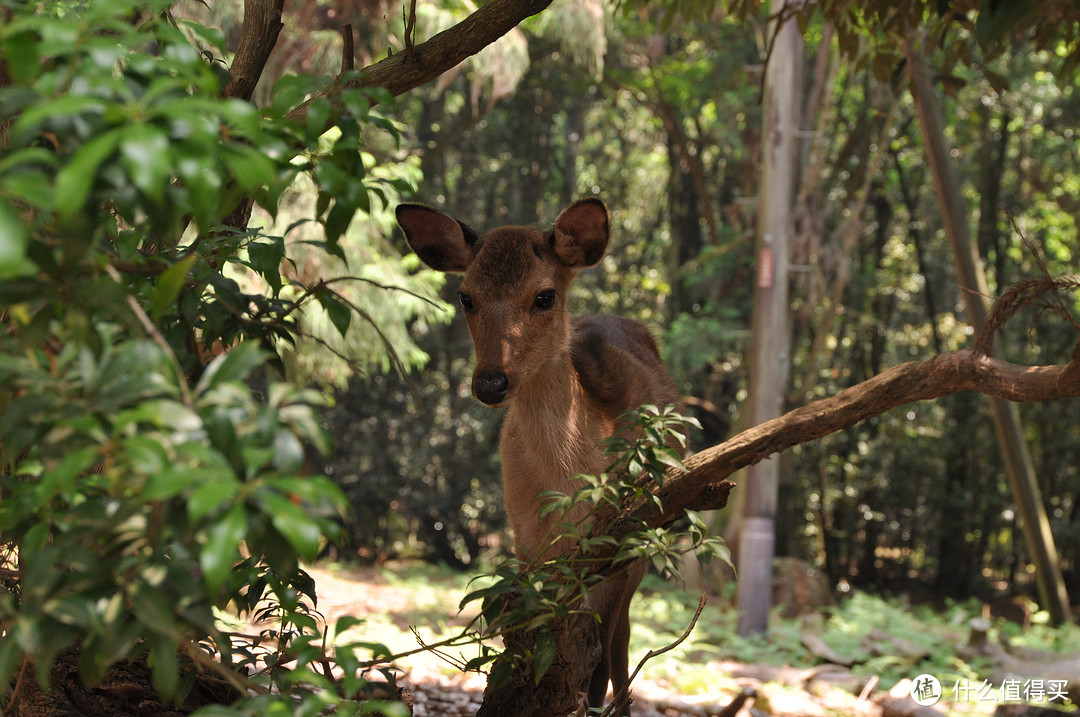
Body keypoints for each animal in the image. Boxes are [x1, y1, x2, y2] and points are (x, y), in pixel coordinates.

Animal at [397, 198, 682, 712]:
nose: (490, 383)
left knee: (620, 647)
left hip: (650, 539)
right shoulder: (524, 534)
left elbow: (598, 663)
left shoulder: (623, 533)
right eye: (466, 297)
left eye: (544, 296)